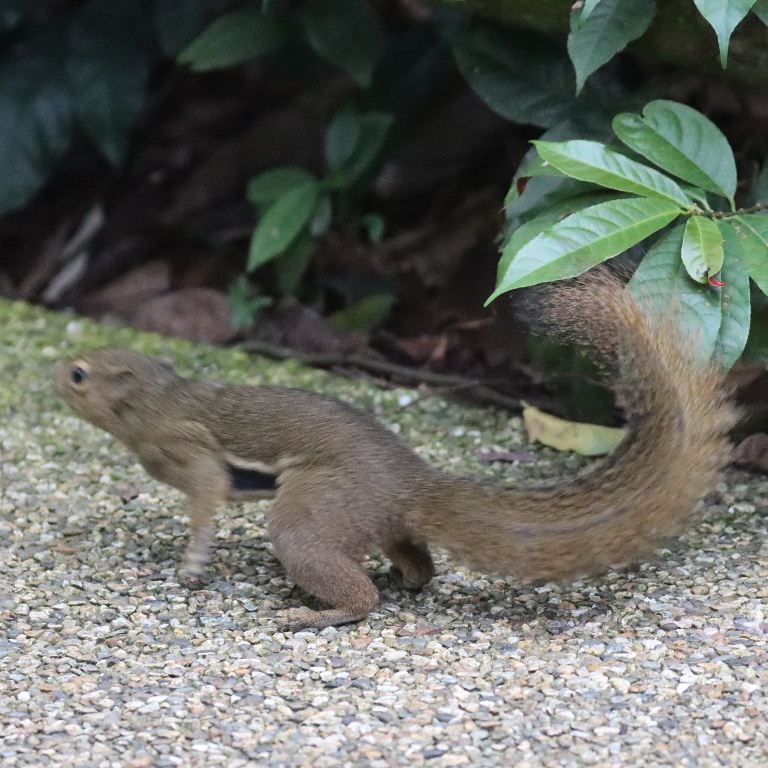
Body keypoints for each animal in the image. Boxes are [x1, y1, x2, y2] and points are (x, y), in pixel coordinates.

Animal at [54, 272, 735, 630]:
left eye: (80, 375)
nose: (53, 375)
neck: (154, 400)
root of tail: (413, 484)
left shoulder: (182, 447)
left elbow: (205, 497)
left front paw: (192, 562)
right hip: (377, 524)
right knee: (417, 561)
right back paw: (401, 578)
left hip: (311, 513)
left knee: (359, 593)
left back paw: (321, 614)